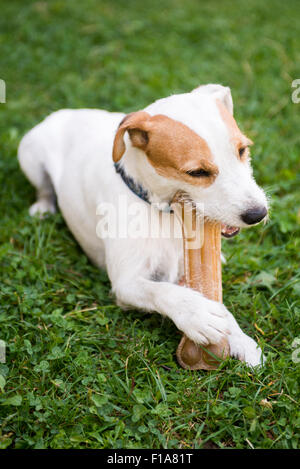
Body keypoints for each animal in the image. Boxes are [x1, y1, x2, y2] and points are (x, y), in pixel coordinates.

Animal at [17, 84, 268, 366]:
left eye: (242, 150)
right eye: (197, 173)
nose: (258, 213)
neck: (163, 211)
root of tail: (65, 113)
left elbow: (217, 301)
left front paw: (240, 338)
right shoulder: (126, 283)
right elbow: (161, 291)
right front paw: (196, 314)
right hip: (30, 155)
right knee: (44, 189)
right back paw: (43, 207)